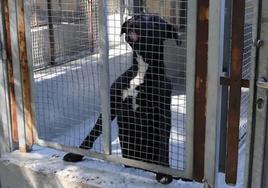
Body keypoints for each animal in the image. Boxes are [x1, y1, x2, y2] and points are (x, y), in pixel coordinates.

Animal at [63, 14, 180, 184]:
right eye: (137, 16)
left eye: (153, 19)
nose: (133, 20)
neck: (141, 70)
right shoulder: (112, 104)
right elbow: (94, 131)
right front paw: (76, 154)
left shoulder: (163, 111)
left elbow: (163, 143)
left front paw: (164, 172)